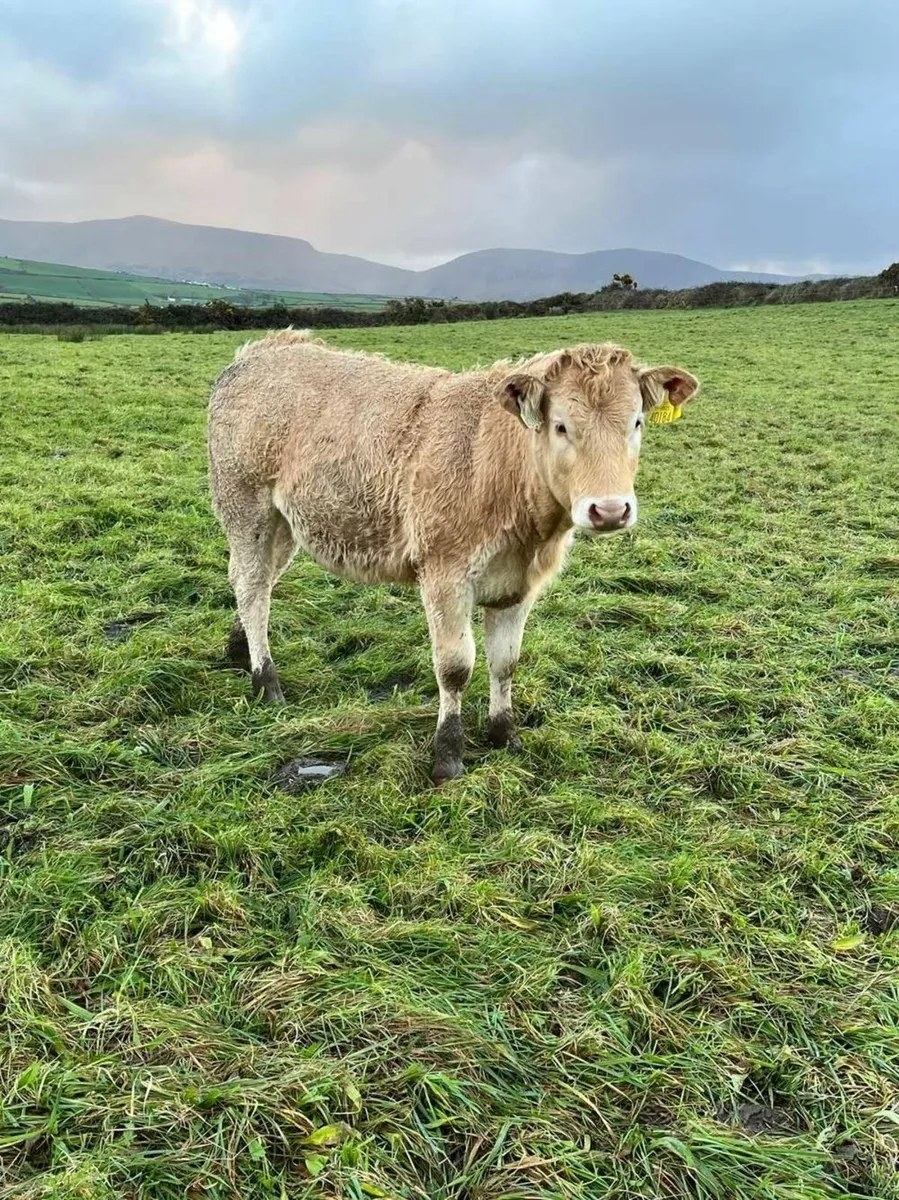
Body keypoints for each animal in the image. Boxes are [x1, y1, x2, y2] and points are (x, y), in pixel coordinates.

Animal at [208, 330, 699, 783]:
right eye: (560, 425)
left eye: (636, 422)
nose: (610, 509)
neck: (498, 468)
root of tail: (261, 350)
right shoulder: (445, 576)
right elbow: (455, 667)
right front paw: (448, 754)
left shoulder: (518, 586)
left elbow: (506, 660)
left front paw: (504, 734)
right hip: (245, 505)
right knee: (252, 587)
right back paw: (265, 679)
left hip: (285, 523)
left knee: (257, 581)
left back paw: (240, 649)